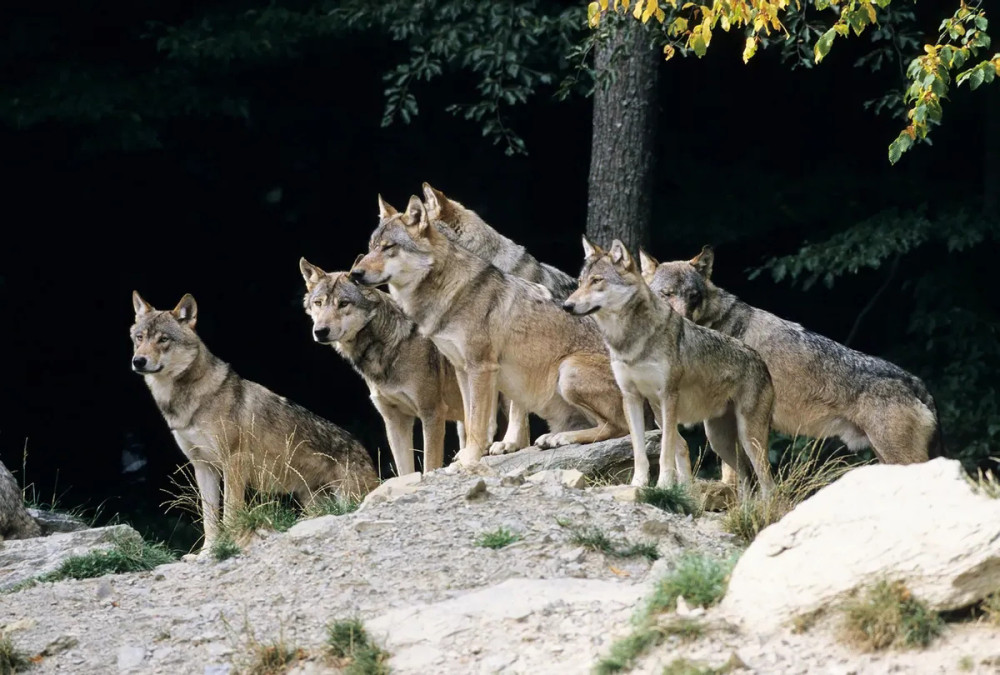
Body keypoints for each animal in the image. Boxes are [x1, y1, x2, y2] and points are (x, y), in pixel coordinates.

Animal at [130, 290, 378, 548]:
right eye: (139, 337)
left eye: (163, 339)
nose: (138, 361)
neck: (188, 401)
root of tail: (363, 449)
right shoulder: (203, 466)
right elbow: (209, 518)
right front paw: (209, 549)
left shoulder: (234, 461)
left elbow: (230, 511)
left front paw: (231, 541)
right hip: (311, 501)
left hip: (346, 495)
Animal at [298, 258, 466, 476]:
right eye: (318, 303)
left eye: (343, 303)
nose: (320, 331)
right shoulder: (395, 421)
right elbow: (405, 471)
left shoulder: (432, 413)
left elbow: (429, 465)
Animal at [352, 198, 624, 468]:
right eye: (371, 247)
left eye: (388, 247)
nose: (355, 273)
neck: (450, 292)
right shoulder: (462, 369)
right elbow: (470, 419)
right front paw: (468, 455)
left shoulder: (482, 367)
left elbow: (479, 422)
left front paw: (470, 459)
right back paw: (554, 438)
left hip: (568, 371)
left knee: (619, 428)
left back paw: (561, 438)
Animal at [568, 240, 776, 494]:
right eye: (580, 282)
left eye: (597, 280)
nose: (566, 305)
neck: (629, 342)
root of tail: (761, 361)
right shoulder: (632, 398)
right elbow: (640, 451)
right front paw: (638, 484)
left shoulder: (668, 397)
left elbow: (666, 449)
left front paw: (664, 485)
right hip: (719, 441)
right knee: (746, 481)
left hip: (749, 440)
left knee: (768, 484)